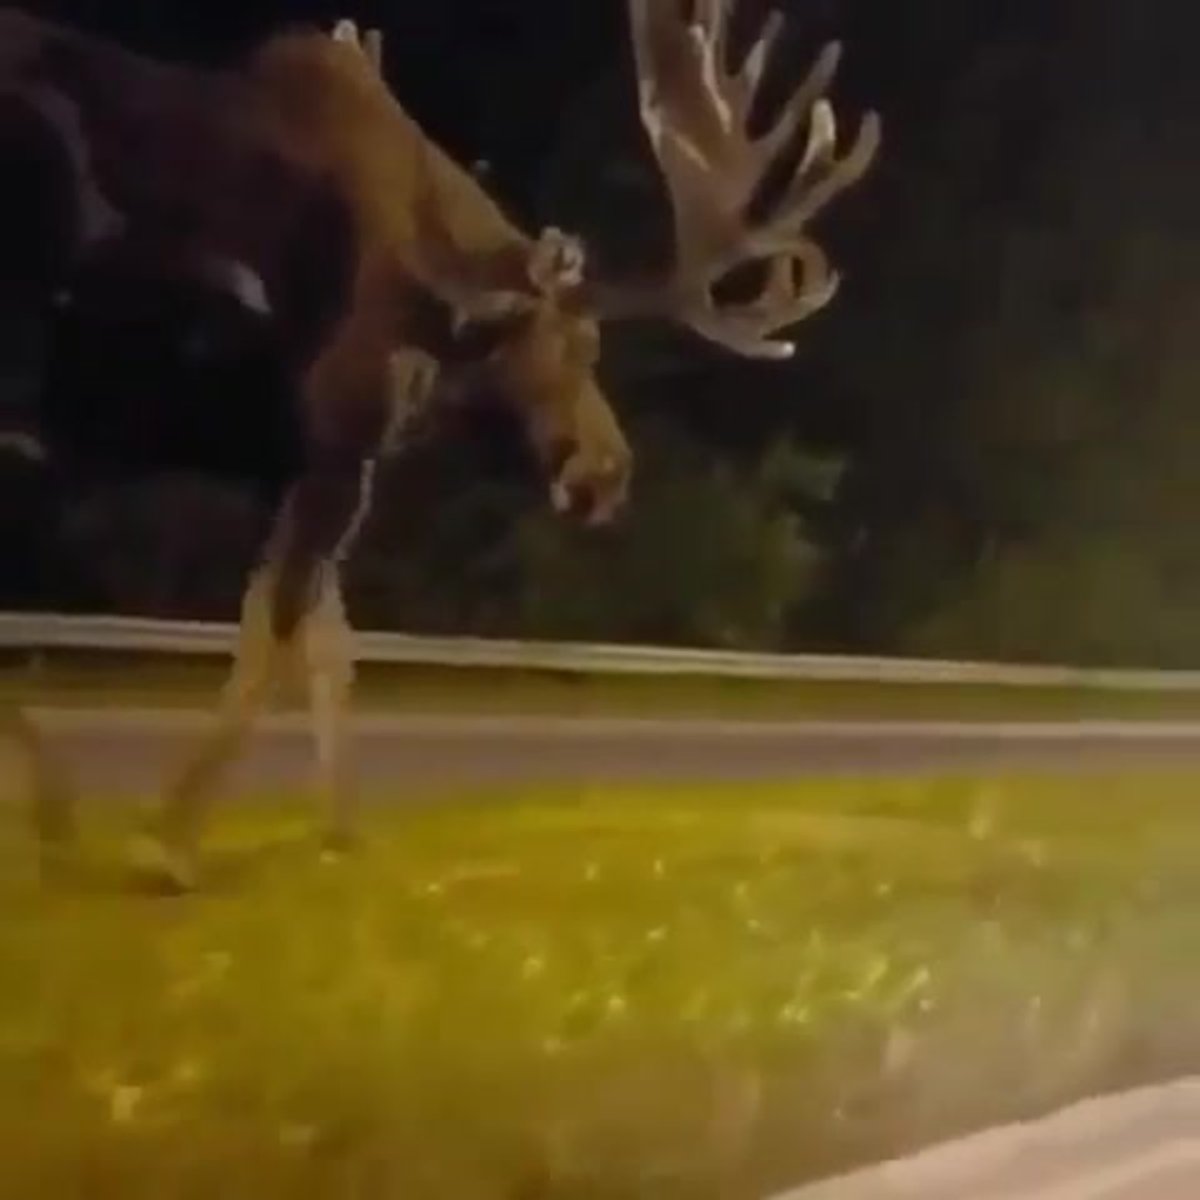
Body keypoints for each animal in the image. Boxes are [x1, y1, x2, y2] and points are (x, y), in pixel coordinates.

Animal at [0, 1, 879, 890]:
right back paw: (59, 811)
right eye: (578, 343)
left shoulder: (296, 464)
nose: (608, 473)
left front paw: (341, 828)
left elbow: (327, 645)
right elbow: (278, 631)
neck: (440, 302)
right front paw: (168, 836)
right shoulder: (338, 436)